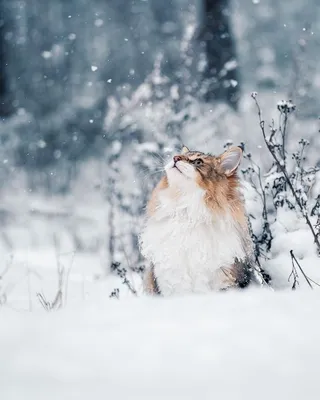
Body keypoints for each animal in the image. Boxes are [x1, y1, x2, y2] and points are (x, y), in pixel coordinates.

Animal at [140, 145, 258, 296]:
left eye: (198, 162)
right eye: (179, 155)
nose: (175, 158)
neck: (188, 216)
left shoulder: (222, 278)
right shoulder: (170, 279)